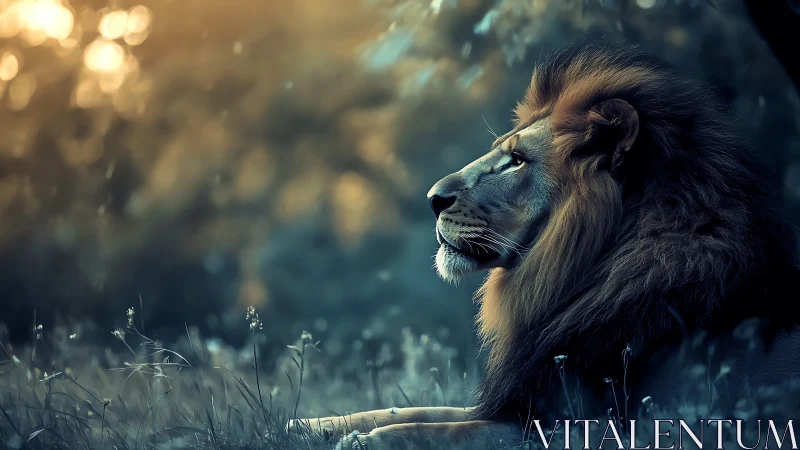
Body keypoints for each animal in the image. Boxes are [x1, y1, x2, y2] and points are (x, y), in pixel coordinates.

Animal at [289, 41, 799, 448]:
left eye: (516, 160)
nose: (433, 199)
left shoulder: (589, 427)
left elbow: (442, 430)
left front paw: (365, 441)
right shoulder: (520, 396)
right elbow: (415, 409)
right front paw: (310, 424)